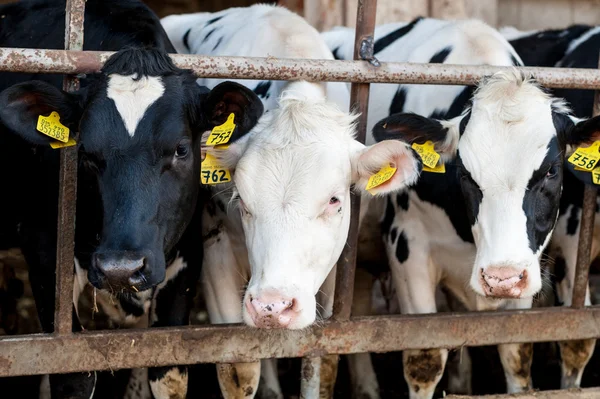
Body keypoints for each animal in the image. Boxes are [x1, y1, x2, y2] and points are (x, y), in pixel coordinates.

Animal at [0, 1, 262, 398]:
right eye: (85, 153)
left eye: (181, 149)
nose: (120, 268)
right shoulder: (44, 254)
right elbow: (70, 372)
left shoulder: (186, 259)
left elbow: (168, 371)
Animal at [159, 4, 424, 398]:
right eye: (242, 202)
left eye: (334, 200)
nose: (273, 306)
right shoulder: (216, 251)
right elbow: (237, 365)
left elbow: (324, 360)